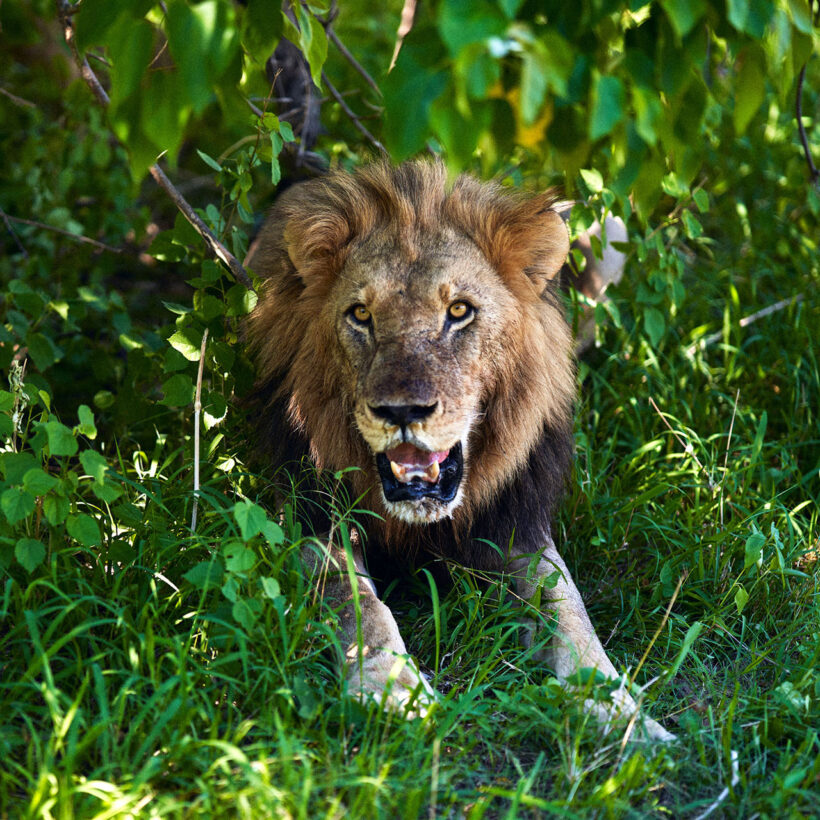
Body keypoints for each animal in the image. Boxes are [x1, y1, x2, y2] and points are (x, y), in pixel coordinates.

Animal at [245, 161, 674, 742]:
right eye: (360, 314)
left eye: (459, 311)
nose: (402, 411)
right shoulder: (312, 516)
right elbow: (358, 607)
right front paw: (391, 690)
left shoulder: (515, 526)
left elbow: (571, 613)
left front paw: (623, 715)